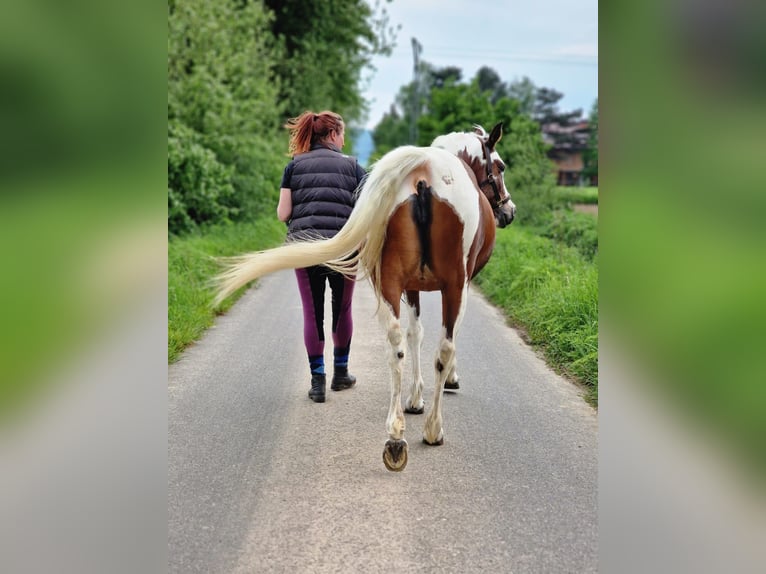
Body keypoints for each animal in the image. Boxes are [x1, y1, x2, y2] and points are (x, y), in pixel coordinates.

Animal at [213, 121, 520, 472]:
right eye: (500, 166)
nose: (509, 211)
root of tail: (424, 173)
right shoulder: (461, 285)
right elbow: (438, 341)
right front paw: (445, 385)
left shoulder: (411, 287)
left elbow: (415, 334)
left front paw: (414, 399)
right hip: (453, 286)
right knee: (443, 349)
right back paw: (433, 429)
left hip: (391, 284)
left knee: (395, 345)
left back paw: (395, 436)